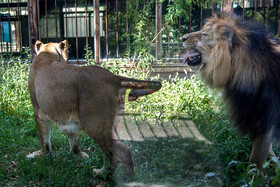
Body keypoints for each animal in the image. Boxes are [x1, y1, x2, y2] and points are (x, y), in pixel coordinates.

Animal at [27, 39, 162, 175]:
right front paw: (77, 155)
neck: (48, 52)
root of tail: (113, 77)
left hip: (93, 125)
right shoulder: (69, 117)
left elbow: (44, 139)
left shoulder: (38, 112)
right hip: (109, 124)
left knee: (123, 151)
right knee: (111, 155)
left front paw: (42, 155)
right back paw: (102, 174)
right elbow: (73, 138)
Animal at [182, 12, 280, 169]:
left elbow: (255, 159)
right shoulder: (253, 116)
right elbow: (267, 153)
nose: (183, 38)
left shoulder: (265, 117)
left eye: (205, 34)